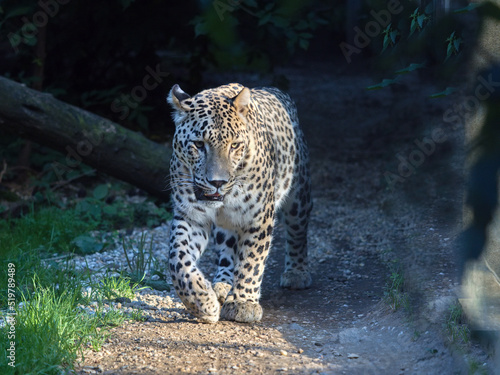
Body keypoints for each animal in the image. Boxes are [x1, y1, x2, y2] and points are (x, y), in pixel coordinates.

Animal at [166, 83, 310, 324]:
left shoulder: (259, 217)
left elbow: (252, 259)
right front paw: (201, 301)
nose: (217, 182)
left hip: (299, 194)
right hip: (226, 224)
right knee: (227, 247)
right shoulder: (191, 216)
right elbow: (178, 258)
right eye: (199, 144)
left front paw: (243, 303)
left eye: (234, 145)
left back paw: (297, 273)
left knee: (297, 231)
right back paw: (222, 284)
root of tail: (274, 90)